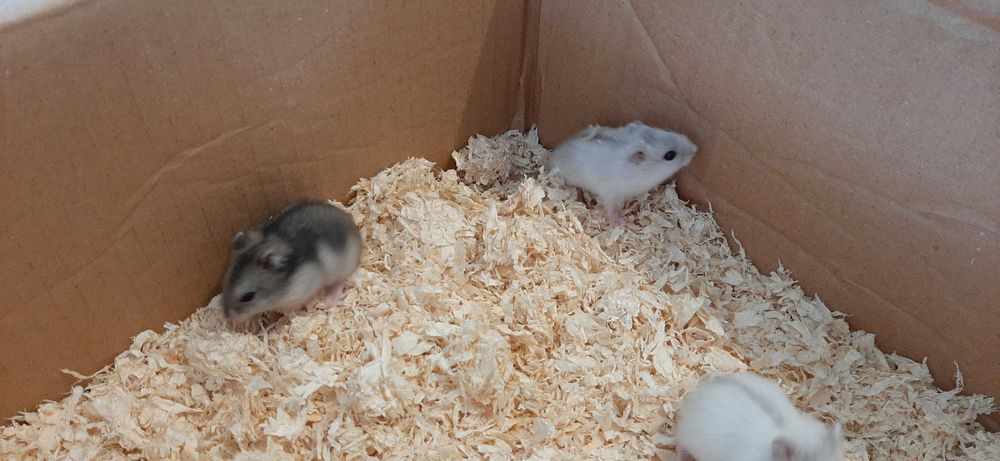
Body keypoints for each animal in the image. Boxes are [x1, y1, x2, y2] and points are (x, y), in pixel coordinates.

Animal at [221, 199, 363, 323]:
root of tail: (354, 229)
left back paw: (330, 302)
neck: (280, 291)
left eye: (248, 297)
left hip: (343, 267)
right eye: (225, 285)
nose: (228, 317)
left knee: (340, 282)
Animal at [547, 121, 697, 226]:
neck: (640, 172)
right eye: (670, 155)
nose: (695, 149)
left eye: (667, 130)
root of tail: (549, 159)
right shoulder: (611, 194)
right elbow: (611, 209)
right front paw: (619, 224)